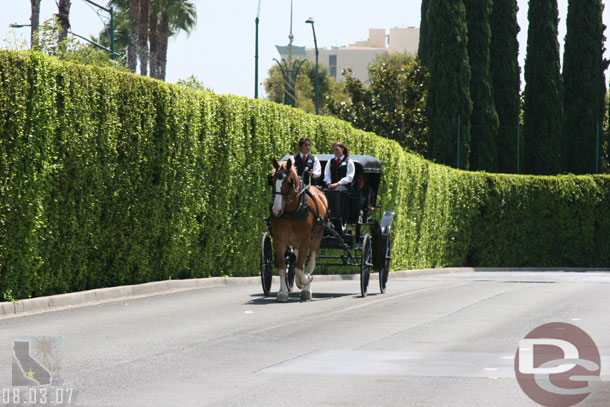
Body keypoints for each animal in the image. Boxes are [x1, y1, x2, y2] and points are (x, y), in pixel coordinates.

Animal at [270, 157, 328, 302]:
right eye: (272, 180)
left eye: (288, 182)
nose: (276, 210)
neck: (290, 213)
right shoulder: (278, 241)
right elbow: (282, 267)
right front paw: (283, 292)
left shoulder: (305, 241)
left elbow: (300, 267)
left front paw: (305, 280)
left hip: (316, 237)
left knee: (311, 262)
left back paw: (306, 288)